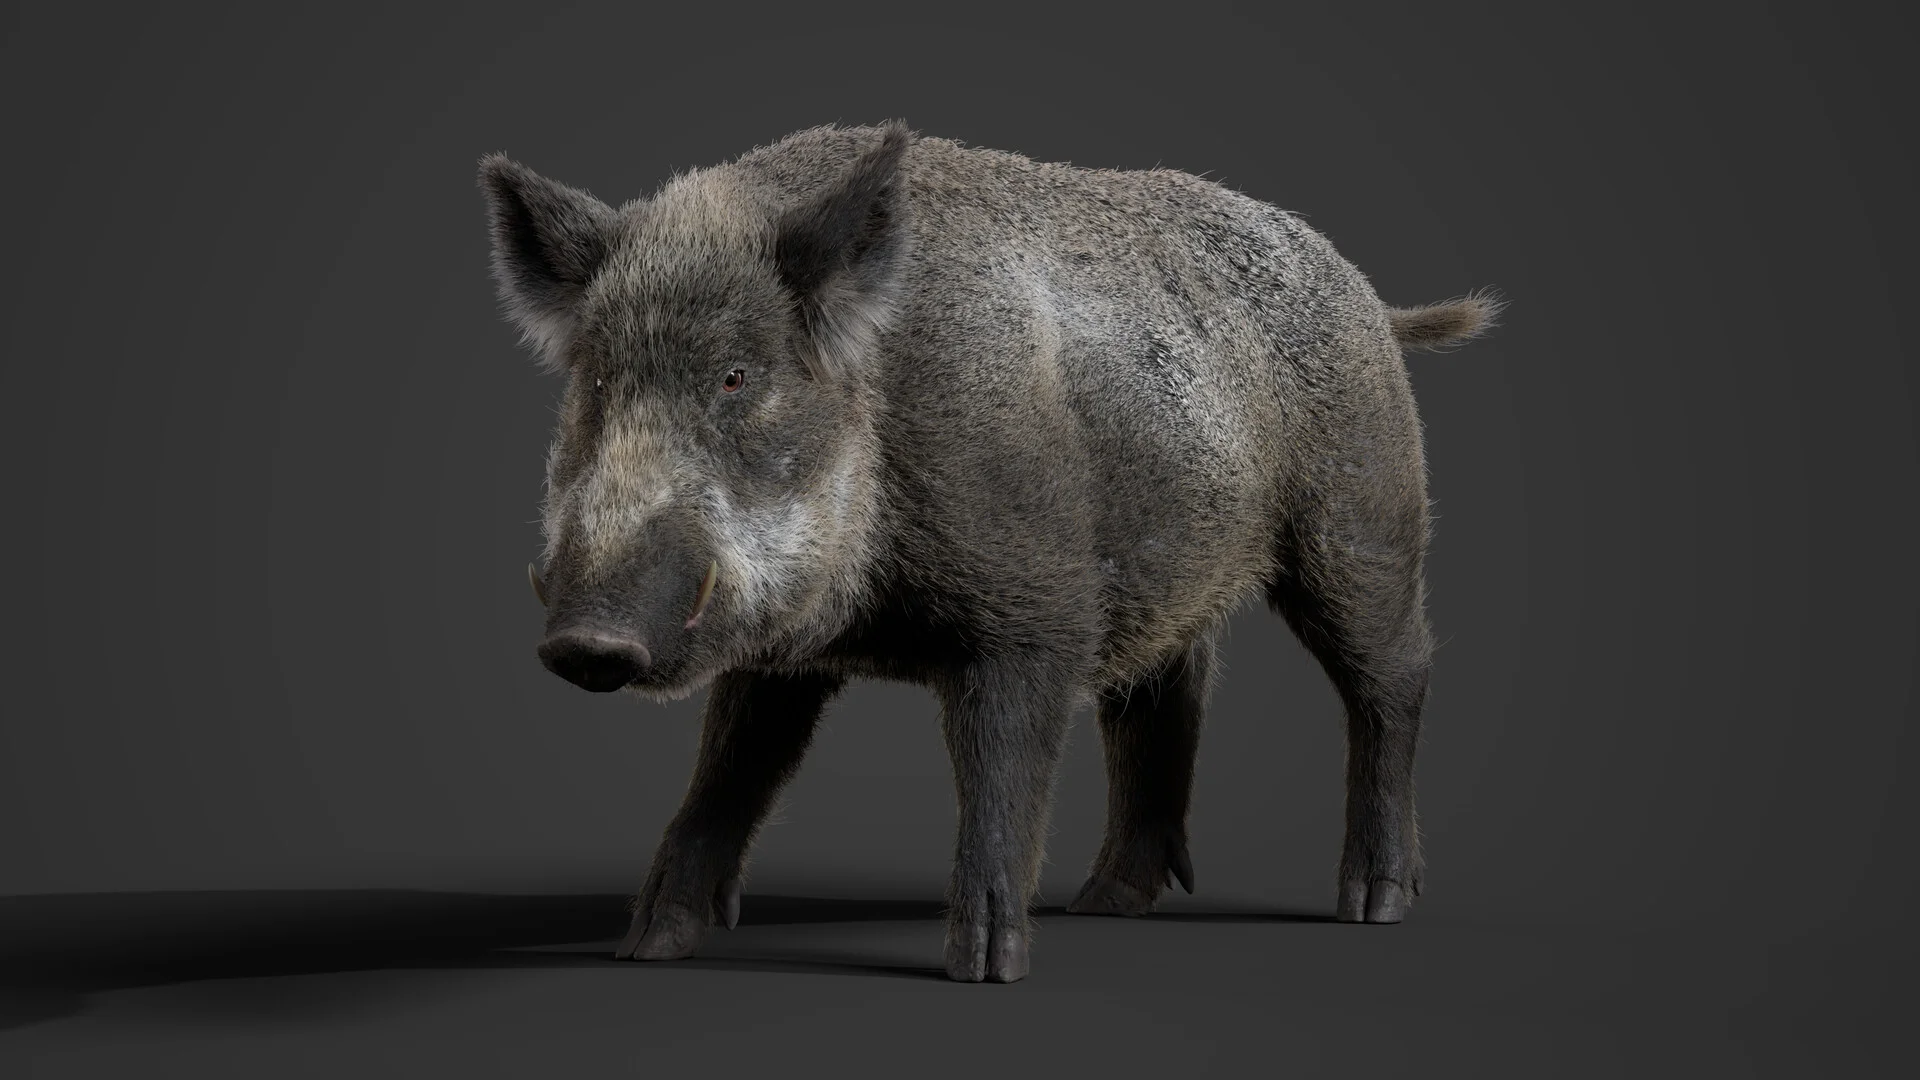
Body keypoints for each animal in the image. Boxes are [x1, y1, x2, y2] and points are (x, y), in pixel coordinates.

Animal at [478, 120, 1502, 984]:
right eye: (597, 382)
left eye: (735, 376)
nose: (588, 643)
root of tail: (1371, 301)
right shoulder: (782, 657)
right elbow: (732, 769)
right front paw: (646, 949)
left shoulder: (1034, 610)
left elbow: (1001, 767)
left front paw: (985, 969)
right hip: (1172, 571)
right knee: (1170, 696)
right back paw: (1104, 905)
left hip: (1364, 517)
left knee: (1393, 677)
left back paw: (1372, 905)